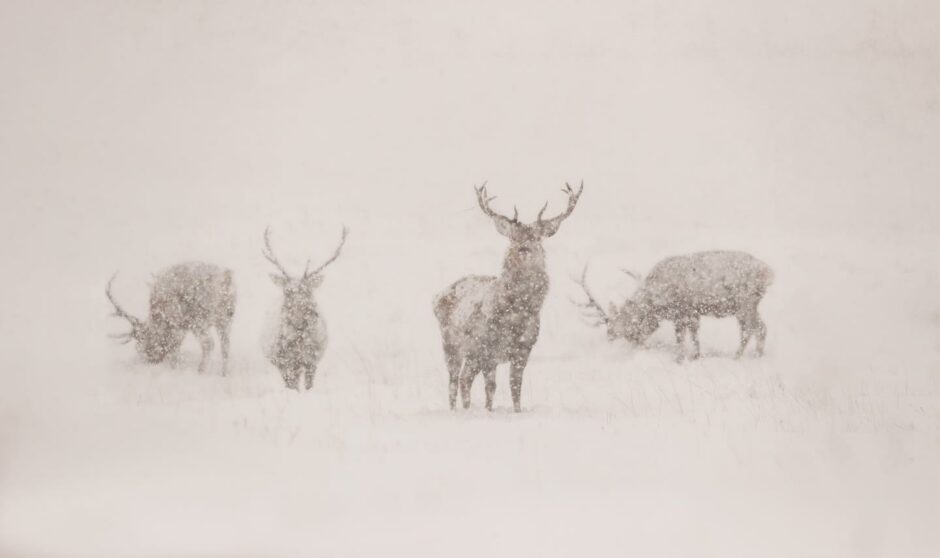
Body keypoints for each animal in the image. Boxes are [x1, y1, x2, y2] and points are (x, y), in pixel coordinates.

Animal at [106, 264, 237, 376]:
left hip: (198, 318)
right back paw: (224, 374)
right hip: (226, 317)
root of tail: (225, 280)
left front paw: (174, 368)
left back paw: (201, 371)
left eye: (143, 342)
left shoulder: (174, 321)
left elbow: (174, 348)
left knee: (209, 343)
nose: (149, 360)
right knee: (225, 345)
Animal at [262, 225, 346, 392]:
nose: (300, 322)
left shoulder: (312, 360)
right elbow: (292, 386)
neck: (299, 343)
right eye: (286, 291)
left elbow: (308, 386)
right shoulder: (282, 360)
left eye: (307, 291)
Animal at [434, 182, 580, 414]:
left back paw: (466, 409)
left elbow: (515, 386)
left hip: (472, 354)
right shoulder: (488, 347)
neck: (516, 314)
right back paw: (455, 411)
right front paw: (488, 412)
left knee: (465, 379)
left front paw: (517, 411)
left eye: (536, 236)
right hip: (451, 343)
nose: (523, 249)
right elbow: (491, 387)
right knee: (454, 381)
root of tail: (437, 296)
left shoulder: (524, 348)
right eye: (513, 236)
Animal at [576, 252, 776, 360]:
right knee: (759, 328)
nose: (641, 347)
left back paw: (738, 357)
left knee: (752, 329)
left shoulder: (682, 311)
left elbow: (680, 339)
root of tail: (769, 273)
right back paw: (753, 355)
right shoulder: (693, 313)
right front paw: (695, 356)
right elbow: (694, 337)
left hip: (745, 302)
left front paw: (680, 359)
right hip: (747, 305)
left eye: (630, 331)